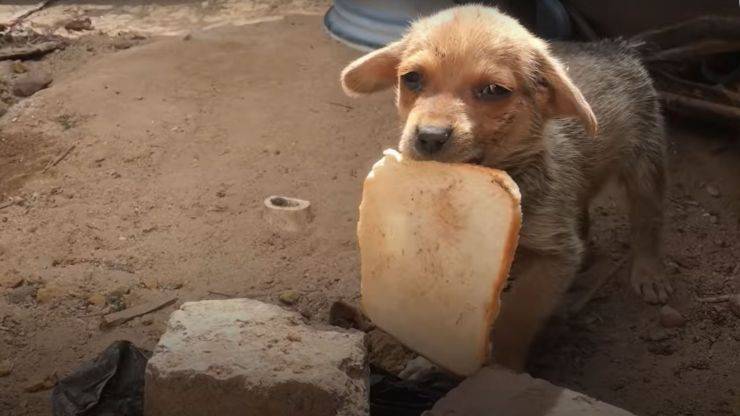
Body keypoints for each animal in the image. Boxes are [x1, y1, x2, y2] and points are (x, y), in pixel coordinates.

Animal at [342, 5, 672, 370]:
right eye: (411, 78)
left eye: (494, 90)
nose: (429, 136)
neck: (508, 170)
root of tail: (616, 47)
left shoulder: (554, 256)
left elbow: (519, 314)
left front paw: (505, 365)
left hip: (646, 164)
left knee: (648, 222)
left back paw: (649, 273)